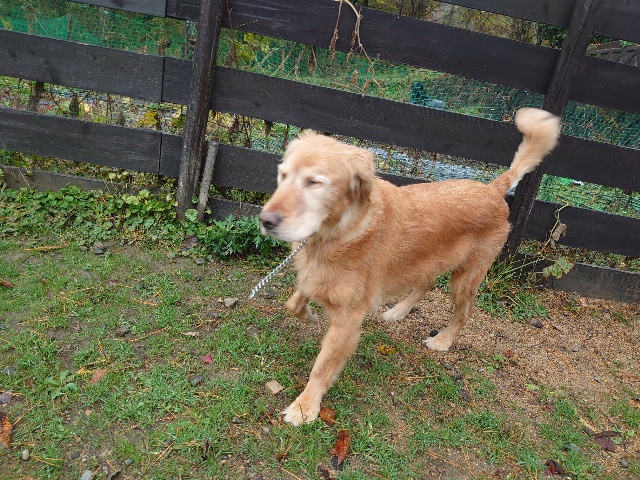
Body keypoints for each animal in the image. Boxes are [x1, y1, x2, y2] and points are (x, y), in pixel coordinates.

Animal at [258, 108, 561, 425]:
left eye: (315, 182)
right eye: (283, 175)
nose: (265, 220)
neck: (341, 231)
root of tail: (492, 189)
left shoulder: (347, 320)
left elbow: (321, 367)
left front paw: (305, 406)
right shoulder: (314, 275)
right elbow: (295, 300)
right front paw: (306, 314)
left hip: (465, 278)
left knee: (463, 313)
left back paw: (442, 340)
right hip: (424, 260)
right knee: (426, 283)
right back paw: (398, 312)